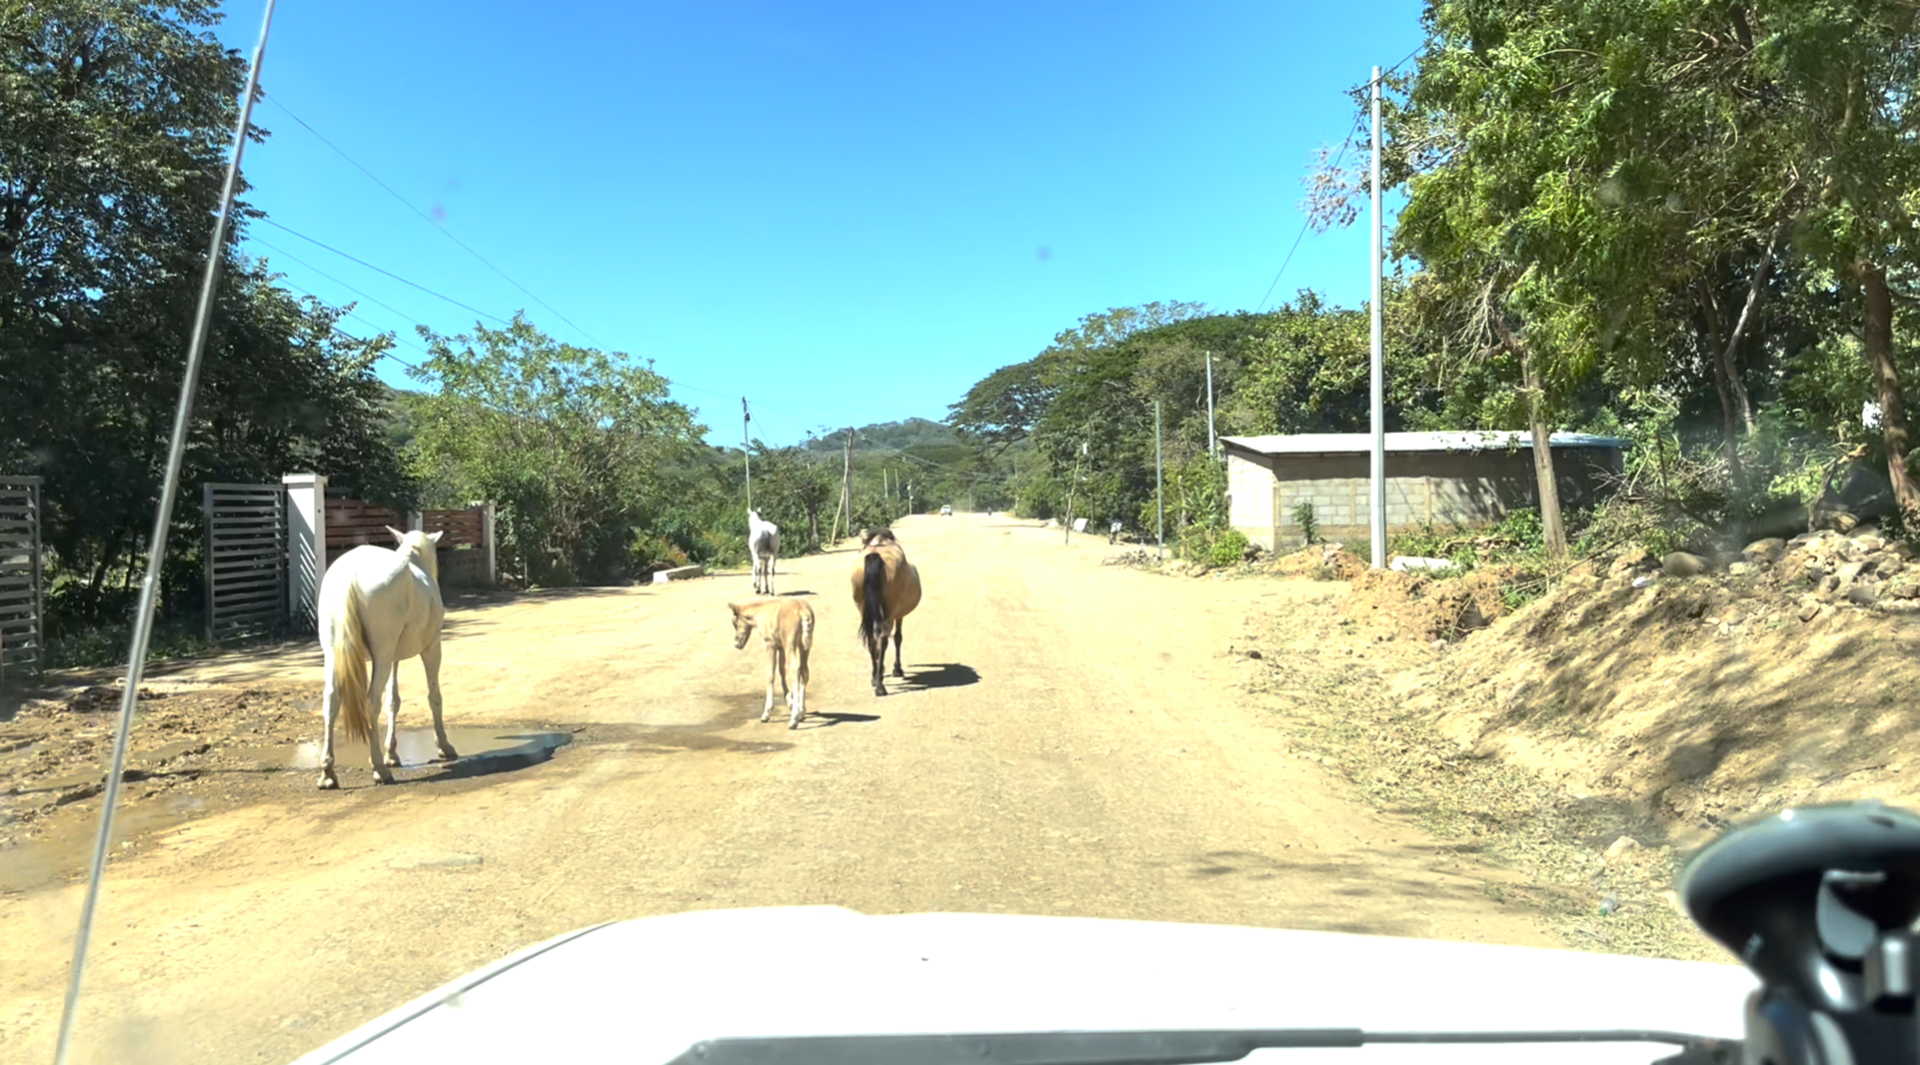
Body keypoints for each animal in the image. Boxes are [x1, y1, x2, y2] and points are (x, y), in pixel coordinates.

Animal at [316, 527, 457, 789]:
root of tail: (351, 571)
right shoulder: (432, 648)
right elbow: (434, 697)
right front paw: (444, 746)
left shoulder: (393, 658)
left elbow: (394, 701)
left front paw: (392, 754)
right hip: (381, 655)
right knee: (371, 701)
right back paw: (379, 769)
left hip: (334, 654)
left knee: (331, 700)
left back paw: (328, 773)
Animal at [729, 597, 815, 729]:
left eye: (734, 623)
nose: (736, 644)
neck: (761, 613)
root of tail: (803, 610)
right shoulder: (781, 647)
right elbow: (781, 670)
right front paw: (789, 702)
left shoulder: (770, 644)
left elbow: (770, 674)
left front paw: (767, 713)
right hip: (804, 646)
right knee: (804, 672)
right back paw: (801, 712)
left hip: (790, 646)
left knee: (795, 671)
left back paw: (794, 719)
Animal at [850, 534, 921, 696]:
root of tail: (875, 555)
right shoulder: (898, 614)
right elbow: (898, 638)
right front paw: (897, 669)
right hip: (890, 610)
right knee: (883, 639)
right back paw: (880, 685)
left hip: (863, 609)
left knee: (872, 640)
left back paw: (875, 677)